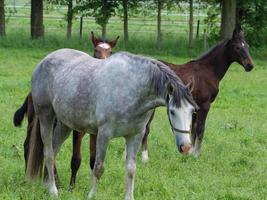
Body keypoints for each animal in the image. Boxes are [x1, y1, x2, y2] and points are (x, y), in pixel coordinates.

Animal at [13, 32, 120, 188]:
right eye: (96, 50)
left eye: (110, 52)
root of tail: (30, 94)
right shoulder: (77, 131)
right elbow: (76, 159)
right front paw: (71, 187)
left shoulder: (95, 132)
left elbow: (93, 160)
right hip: (38, 122)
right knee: (30, 145)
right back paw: (31, 179)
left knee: (51, 147)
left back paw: (52, 180)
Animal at [26, 48, 199, 200]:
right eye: (172, 111)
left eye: (192, 112)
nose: (186, 147)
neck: (132, 87)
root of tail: (44, 61)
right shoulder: (104, 134)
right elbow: (98, 168)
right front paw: (91, 195)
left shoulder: (135, 135)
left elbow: (131, 169)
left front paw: (129, 197)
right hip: (46, 116)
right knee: (48, 153)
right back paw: (53, 191)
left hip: (65, 124)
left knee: (54, 149)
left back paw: (47, 184)